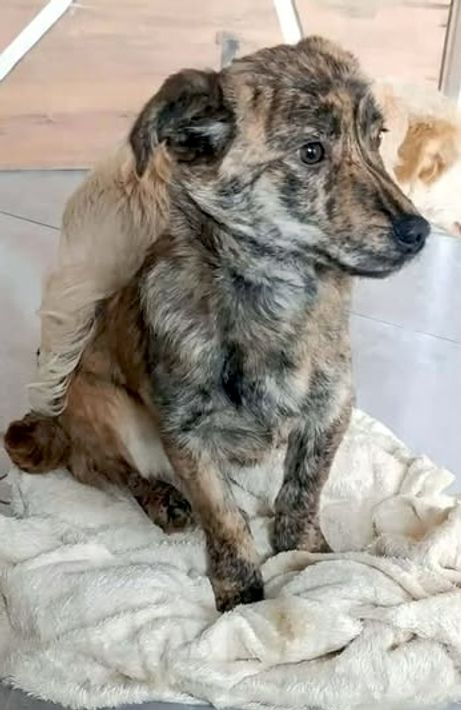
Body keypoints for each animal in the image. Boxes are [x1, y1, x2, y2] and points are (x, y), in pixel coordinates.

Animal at [5, 36, 429, 612]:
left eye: (377, 137)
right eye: (311, 152)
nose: (419, 231)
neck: (273, 297)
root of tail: (55, 421)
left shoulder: (331, 409)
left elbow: (305, 486)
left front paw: (308, 555)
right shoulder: (187, 434)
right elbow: (224, 516)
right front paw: (240, 590)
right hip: (106, 407)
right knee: (107, 469)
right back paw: (161, 499)